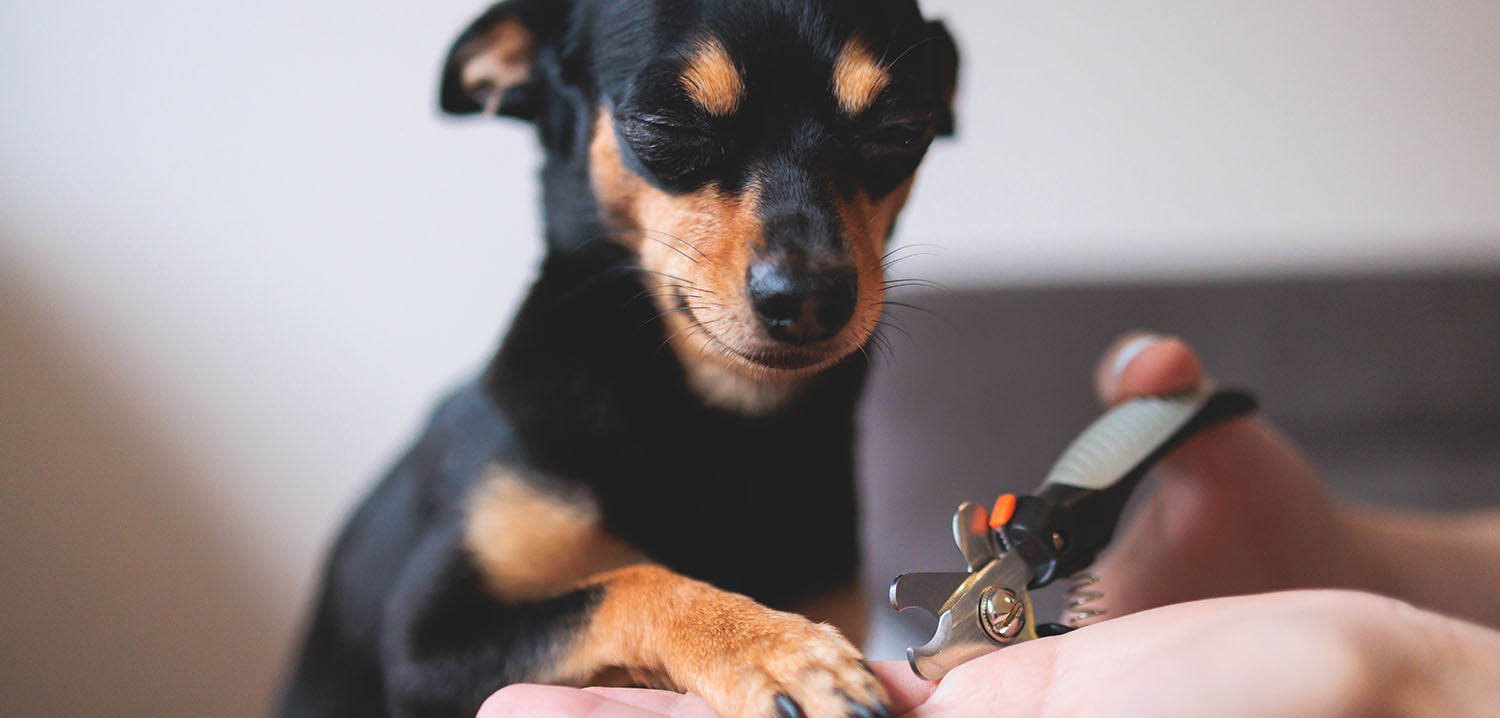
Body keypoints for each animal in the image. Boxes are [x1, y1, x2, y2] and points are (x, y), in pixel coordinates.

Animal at [279, 2, 960, 716]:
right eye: (666, 125)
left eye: (901, 130)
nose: (807, 297)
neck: (721, 426)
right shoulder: (423, 649)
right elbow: (632, 580)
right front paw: (774, 649)